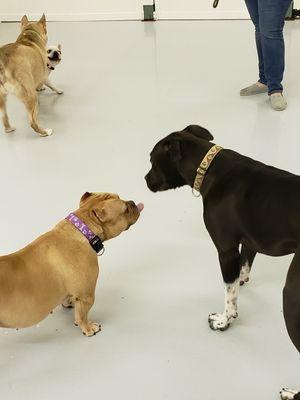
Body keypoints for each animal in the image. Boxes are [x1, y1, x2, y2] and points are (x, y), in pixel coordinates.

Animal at [0, 192, 144, 336]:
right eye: (125, 209)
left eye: (118, 196)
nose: (132, 202)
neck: (83, 231)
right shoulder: (87, 296)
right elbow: (82, 316)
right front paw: (88, 328)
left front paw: (69, 301)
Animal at [145, 125, 298, 400]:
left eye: (151, 159)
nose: (144, 178)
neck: (210, 170)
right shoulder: (248, 242)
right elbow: (243, 269)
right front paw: (242, 279)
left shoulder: (225, 250)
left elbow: (228, 293)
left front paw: (224, 319)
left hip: (291, 296)